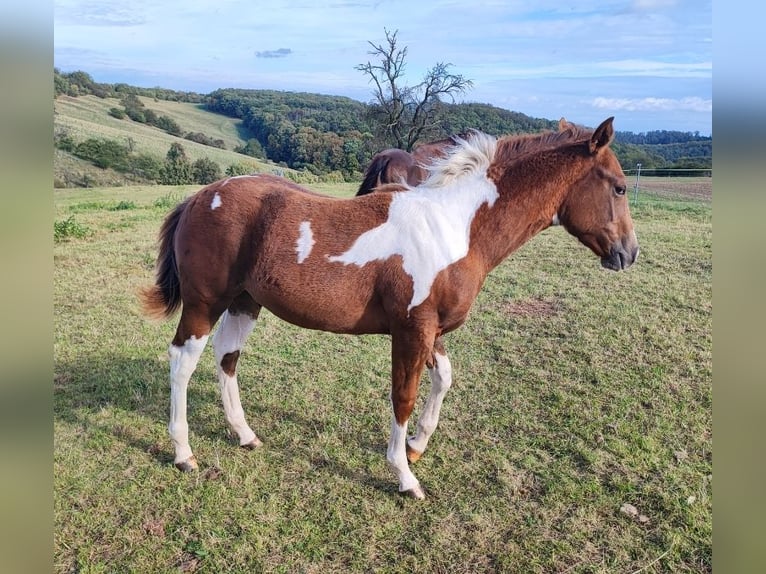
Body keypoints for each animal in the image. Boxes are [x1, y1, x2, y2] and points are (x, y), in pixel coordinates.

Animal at [141, 116, 640, 500]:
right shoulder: (411, 330)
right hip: (206, 303)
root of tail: (198, 198)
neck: (455, 228)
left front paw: (418, 444)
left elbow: (444, 379)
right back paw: (184, 453)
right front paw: (405, 475)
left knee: (227, 358)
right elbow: (404, 396)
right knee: (183, 360)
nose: (629, 254)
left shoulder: (430, 330)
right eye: (618, 187)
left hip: (246, 303)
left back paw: (245, 435)